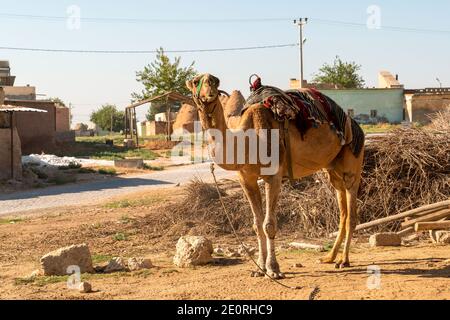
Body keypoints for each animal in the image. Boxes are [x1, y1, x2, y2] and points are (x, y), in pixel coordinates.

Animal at [186, 74, 366, 278]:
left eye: (215, 81)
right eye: (195, 81)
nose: (209, 91)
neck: (247, 141)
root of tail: (356, 126)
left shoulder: (273, 175)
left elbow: (269, 224)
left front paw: (273, 269)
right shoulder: (246, 179)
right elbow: (257, 225)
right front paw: (259, 268)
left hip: (353, 159)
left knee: (351, 209)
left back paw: (344, 260)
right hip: (331, 168)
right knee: (341, 206)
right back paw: (330, 257)